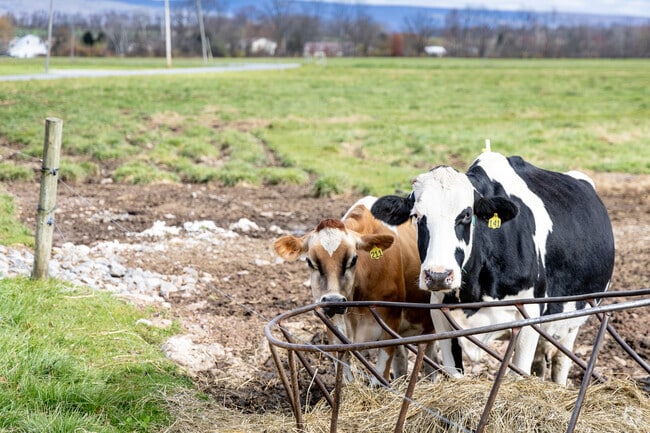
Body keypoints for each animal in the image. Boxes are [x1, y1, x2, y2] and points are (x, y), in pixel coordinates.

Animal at [273, 196, 435, 384]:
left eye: (353, 259)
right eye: (310, 261)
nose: (333, 301)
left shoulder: (390, 324)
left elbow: (379, 379)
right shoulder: (335, 330)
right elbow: (345, 377)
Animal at [370, 151, 615, 385]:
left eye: (466, 214)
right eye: (416, 216)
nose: (438, 276)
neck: (474, 292)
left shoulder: (530, 314)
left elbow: (519, 372)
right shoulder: (441, 318)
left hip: (575, 316)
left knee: (561, 360)